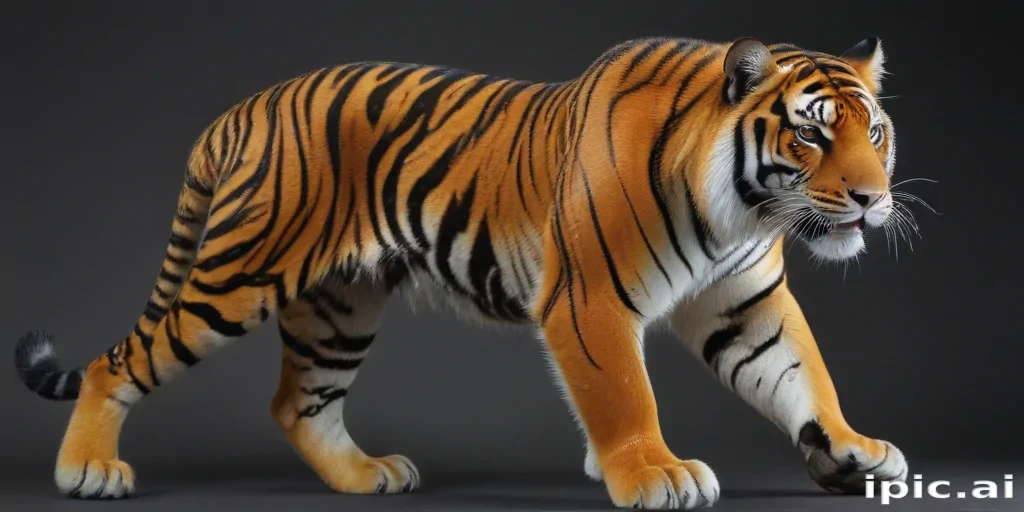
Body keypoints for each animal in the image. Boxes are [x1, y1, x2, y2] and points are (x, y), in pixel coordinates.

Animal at [14, 35, 911, 509]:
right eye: (810, 134)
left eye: (876, 132)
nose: (872, 199)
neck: (744, 210)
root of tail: (242, 110)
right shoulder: (589, 300)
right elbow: (626, 396)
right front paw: (653, 472)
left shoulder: (746, 303)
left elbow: (802, 375)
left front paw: (852, 448)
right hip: (236, 277)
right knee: (118, 363)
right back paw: (87, 471)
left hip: (340, 305)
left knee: (299, 403)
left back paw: (366, 475)